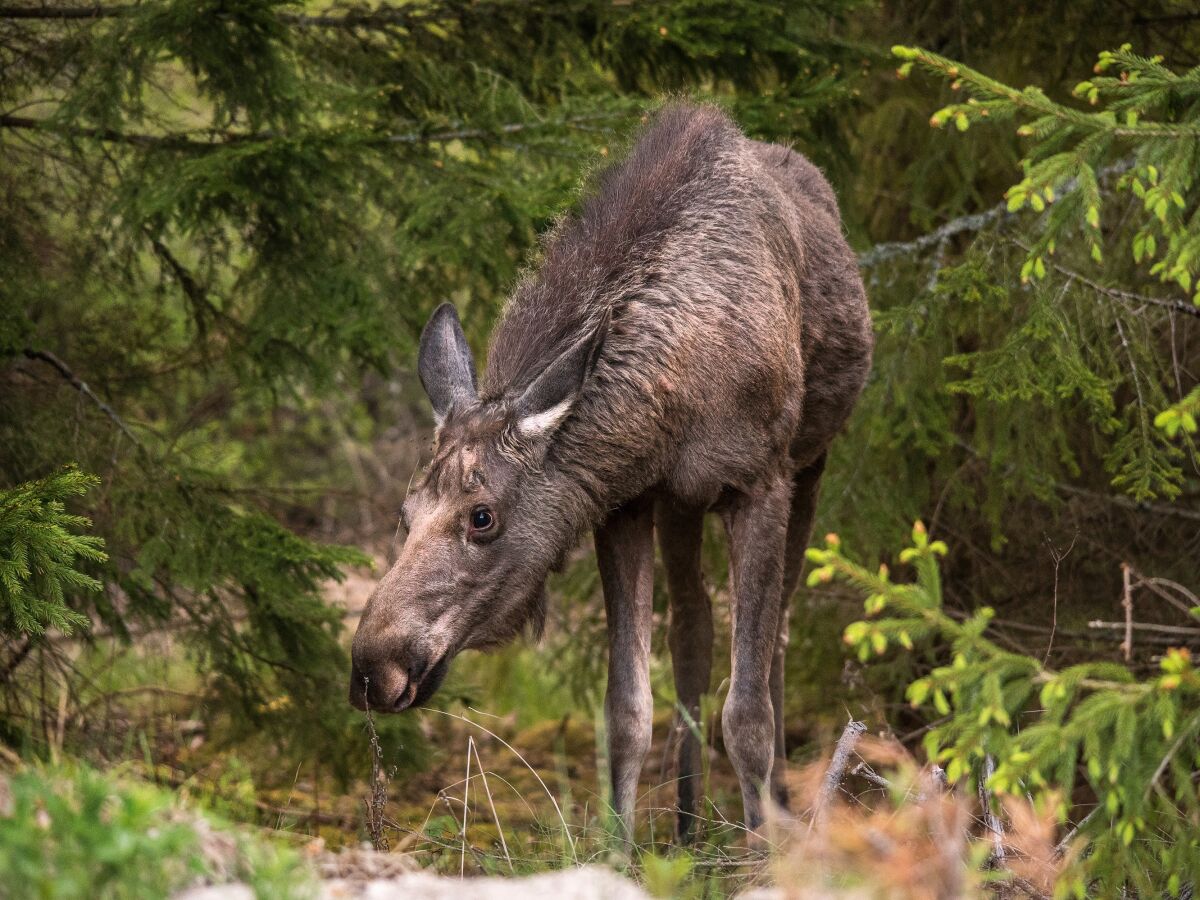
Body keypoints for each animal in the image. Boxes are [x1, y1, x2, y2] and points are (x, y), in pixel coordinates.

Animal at [350, 102, 873, 844]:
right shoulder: (627, 502)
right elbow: (626, 712)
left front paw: (762, 853)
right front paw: (620, 850)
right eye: (404, 513)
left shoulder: (760, 484)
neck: (676, 399)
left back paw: (774, 810)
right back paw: (685, 822)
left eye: (482, 517)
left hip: (811, 464)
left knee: (776, 637)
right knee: (693, 629)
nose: (372, 669)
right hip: (684, 506)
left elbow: (747, 713)